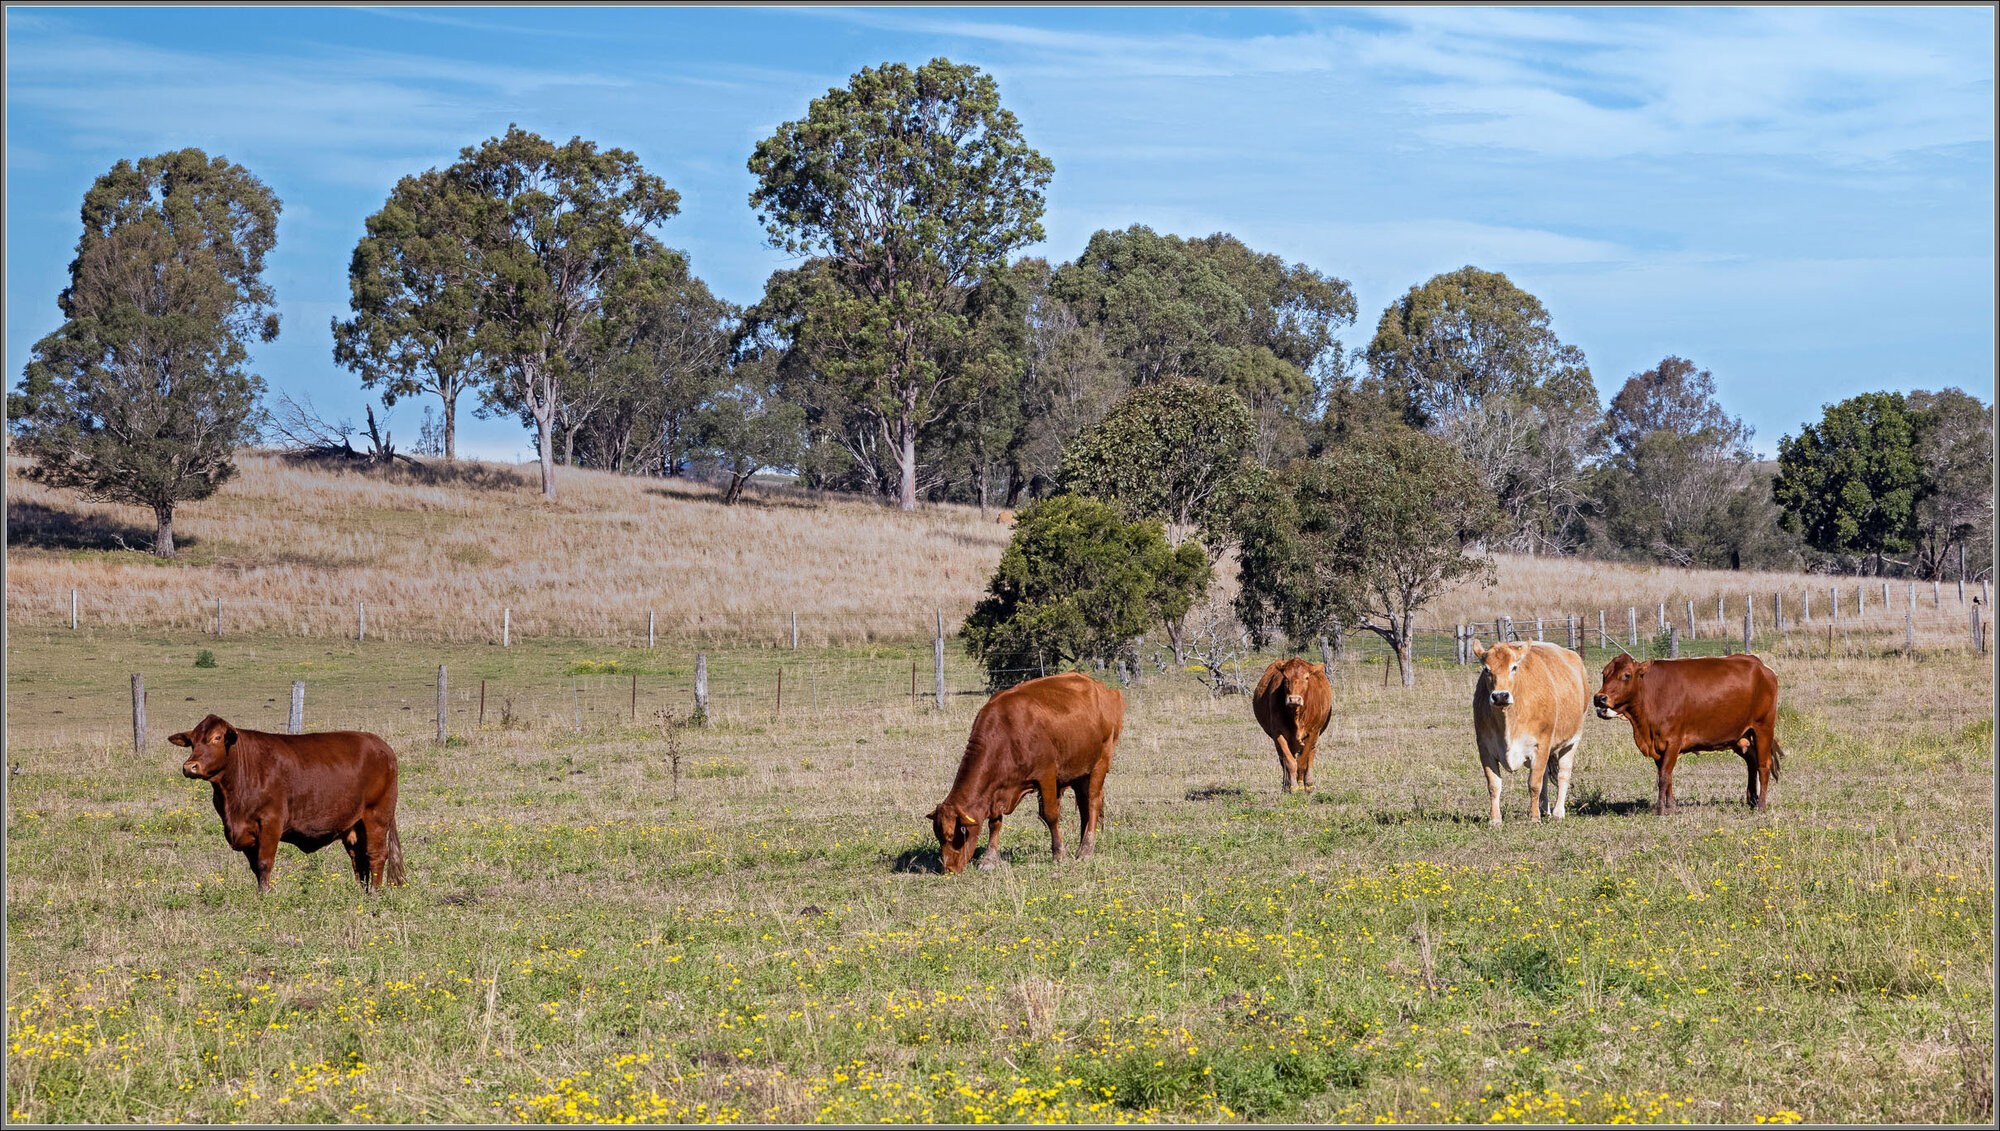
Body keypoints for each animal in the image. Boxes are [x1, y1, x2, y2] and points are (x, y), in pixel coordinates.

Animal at [172, 719, 406, 895]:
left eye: (217, 738)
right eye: (192, 741)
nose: (190, 766)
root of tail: (382, 745)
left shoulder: (270, 823)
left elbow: (264, 863)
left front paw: (264, 895)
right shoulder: (244, 831)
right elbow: (255, 867)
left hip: (377, 814)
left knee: (376, 854)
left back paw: (374, 893)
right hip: (353, 825)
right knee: (359, 858)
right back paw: (362, 893)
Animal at [924, 675, 1128, 879]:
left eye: (952, 835)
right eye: (938, 837)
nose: (949, 869)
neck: (1006, 733)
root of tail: (1102, 687)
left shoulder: (1046, 775)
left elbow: (1050, 815)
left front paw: (1059, 853)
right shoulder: (995, 791)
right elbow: (994, 823)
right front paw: (989, 859)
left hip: (1101, 762)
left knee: (1093, 803)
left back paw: (1086, 850)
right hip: (1080, 771)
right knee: (1085, 806)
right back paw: (1082, 845)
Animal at [1248, 655, 1328, 799]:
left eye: (1307, 677)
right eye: (1285, 678)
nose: (1294, 699)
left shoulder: (1313, 732)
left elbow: (1302, 762)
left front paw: (1301, 786)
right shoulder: (1278, 734)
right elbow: (1289, 762)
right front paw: (1293, 787)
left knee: (1311, 755)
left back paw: (1308, 784)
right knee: (1283, 760)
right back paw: (1287, 785)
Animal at [1464, 643, 1584, 827]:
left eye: (1514, 667)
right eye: (1486, 669)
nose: (1500, 695)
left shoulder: (1541, 746)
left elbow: (1534, 784)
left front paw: (1534, 818)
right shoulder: (1484, 748)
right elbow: (1494, 785)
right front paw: (1495, 819)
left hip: (1571, 742)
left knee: (1563, 775)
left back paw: (1557, 813)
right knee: (1545, 778)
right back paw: (1544, 810)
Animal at [1592, 651, 1784, 819]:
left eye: (1626, 675)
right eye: (1604, 673)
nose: (1599, 698)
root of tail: (1761, 666)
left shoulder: (1673, 741)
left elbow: (1663, 776)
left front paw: (1660, 809)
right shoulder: (1658, 746)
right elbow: (1666, 775)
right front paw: (1671, 807)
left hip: (1763, 727)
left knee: (1763, 765)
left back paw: (1761, 805)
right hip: (1740, 735)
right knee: (1752, 762)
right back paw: (1751, 800)